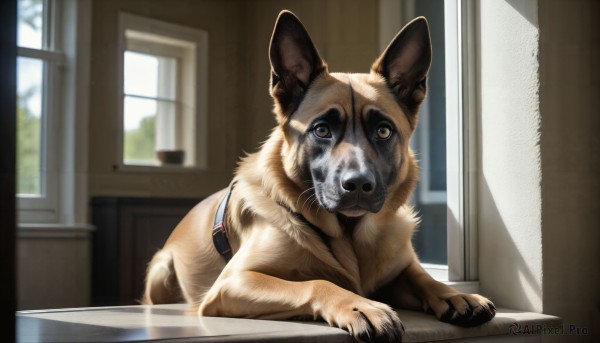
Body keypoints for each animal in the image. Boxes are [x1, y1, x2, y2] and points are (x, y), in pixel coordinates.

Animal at [142, 9, 496, 342]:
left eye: (383, 131)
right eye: (321, 130)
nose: (358, 185)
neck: (349, 235)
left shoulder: (401, 268)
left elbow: (423, 277)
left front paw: (454, 294)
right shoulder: (234, 282)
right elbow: (316, 281)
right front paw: (359, 306)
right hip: (161, 271)